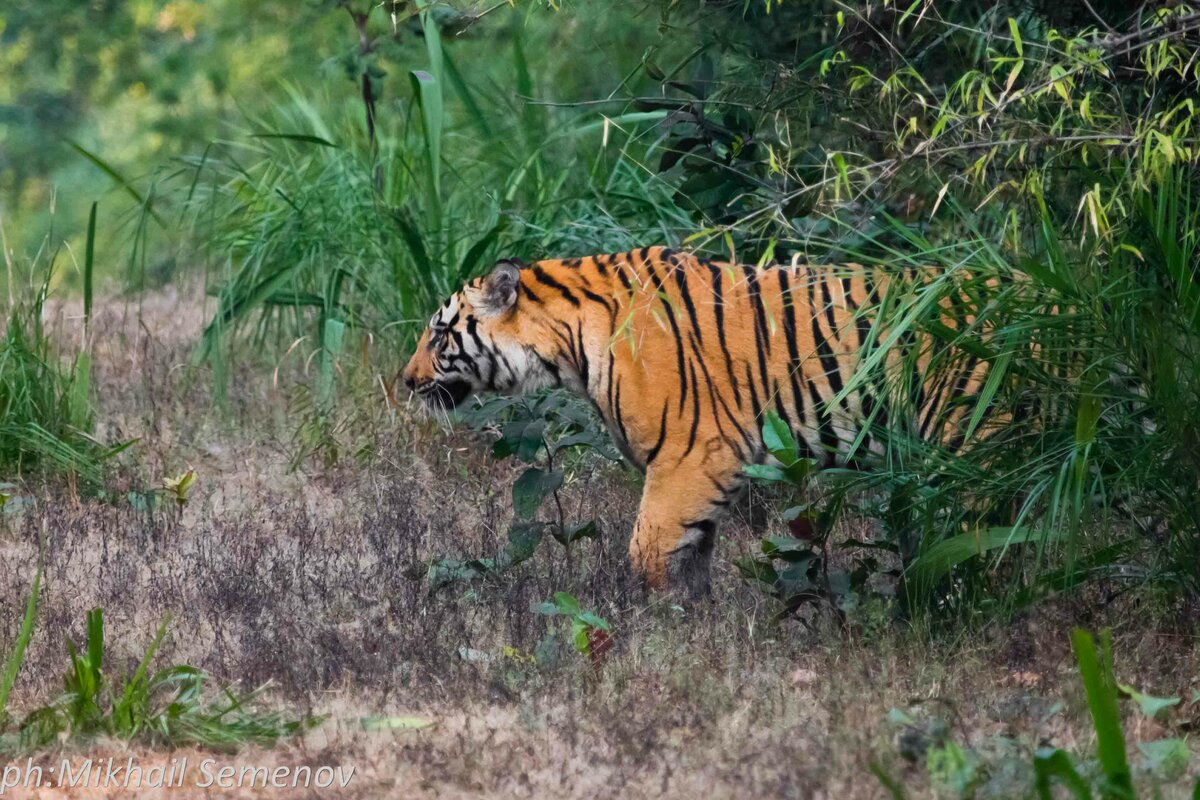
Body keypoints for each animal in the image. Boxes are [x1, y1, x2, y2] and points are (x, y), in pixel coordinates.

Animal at [398, 247, 988, 597]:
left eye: (438, 334)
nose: (405, 380)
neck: (569, 346)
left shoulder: (690, 458)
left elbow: (649, 555)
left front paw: (653, 631)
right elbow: (693, 558)